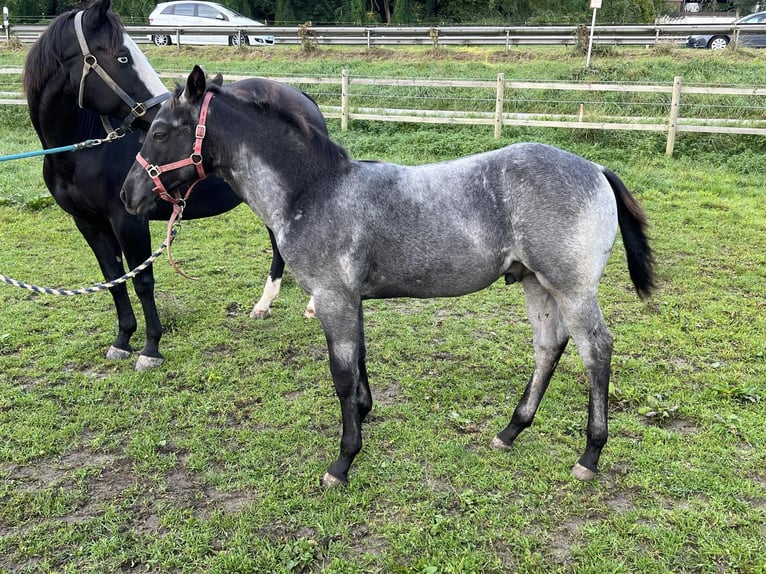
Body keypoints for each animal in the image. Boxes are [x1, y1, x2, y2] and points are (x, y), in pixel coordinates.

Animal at [23, 0, 324, 372]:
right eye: (123, 57)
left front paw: (150, 348)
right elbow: (113, 281)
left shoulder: (129, 220)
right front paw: (122, 340)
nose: (157, 115)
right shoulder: (89, 224)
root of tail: (302, 97)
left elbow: (142, 281)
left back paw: (311, 306)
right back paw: (264, 305)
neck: (83, 148)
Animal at [123, 67, 656, 490]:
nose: (129, 195)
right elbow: (358, 364)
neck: (312, 190)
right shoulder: (348, 299)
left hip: (571, 287)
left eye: (162, 131)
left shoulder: (333, 297)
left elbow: (341, 375)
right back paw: (510, 431)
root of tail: (596, 169)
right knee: (549, 345)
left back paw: (589, 455)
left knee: (595, 349)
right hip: (534, 282)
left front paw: (342, 462)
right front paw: (363, 416)